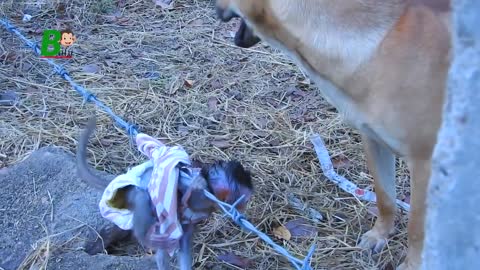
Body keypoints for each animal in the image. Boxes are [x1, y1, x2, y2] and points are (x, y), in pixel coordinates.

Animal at [75, 117, 253, 270]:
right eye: (242, 197)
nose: (243, 206)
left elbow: (185, 239)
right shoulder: (198, 189)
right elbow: (189, 191)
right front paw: (195, 186)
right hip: (128, 193)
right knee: (142, 198)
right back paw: (145, 237)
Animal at [216, 1, 452, 268]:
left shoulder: (425, 163)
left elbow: (417, 227)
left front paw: (415, 264)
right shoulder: (373, 141)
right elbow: (385, 198)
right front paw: (379, 235)